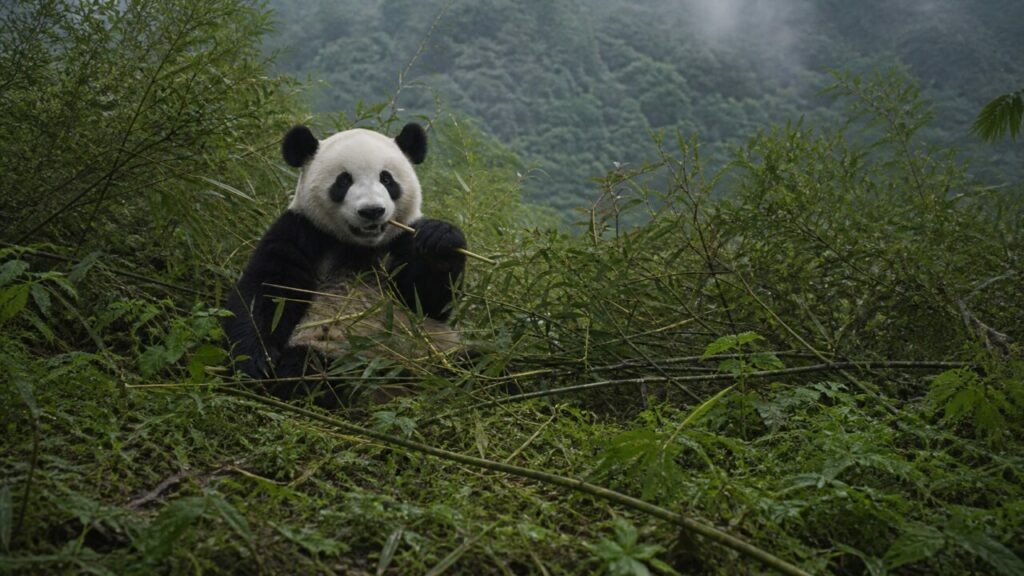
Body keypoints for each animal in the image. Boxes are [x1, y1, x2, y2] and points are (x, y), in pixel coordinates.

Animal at [223, 122, 467, 406]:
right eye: (344, 181)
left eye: (387, 179)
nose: (372, 211)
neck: (359, 245)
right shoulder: (303, 231)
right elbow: (267, 291)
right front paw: (256, 363)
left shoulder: (402, 239)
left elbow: (425, 300)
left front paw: (440, 239)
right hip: (334, 349)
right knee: (310, 371)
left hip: (437, 354)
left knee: (482, 363)